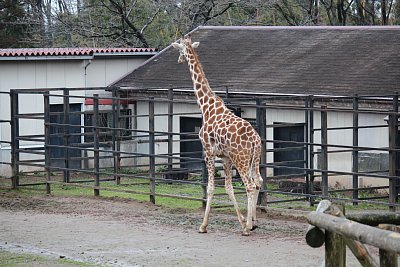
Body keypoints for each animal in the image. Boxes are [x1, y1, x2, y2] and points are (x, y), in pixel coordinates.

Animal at [171, 36, 262, 237]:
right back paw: (253, 222)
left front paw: (203, 226)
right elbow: (228, 188)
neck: (206, 106)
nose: (179, 60)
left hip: (241, 160)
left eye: (179, 50)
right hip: (255, 160)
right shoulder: (225, 157)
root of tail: (255, 141)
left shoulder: (208, 152)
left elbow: (211, 188)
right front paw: (242, 220)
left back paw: (248, 228)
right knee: (258, 182)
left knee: (250, 185)